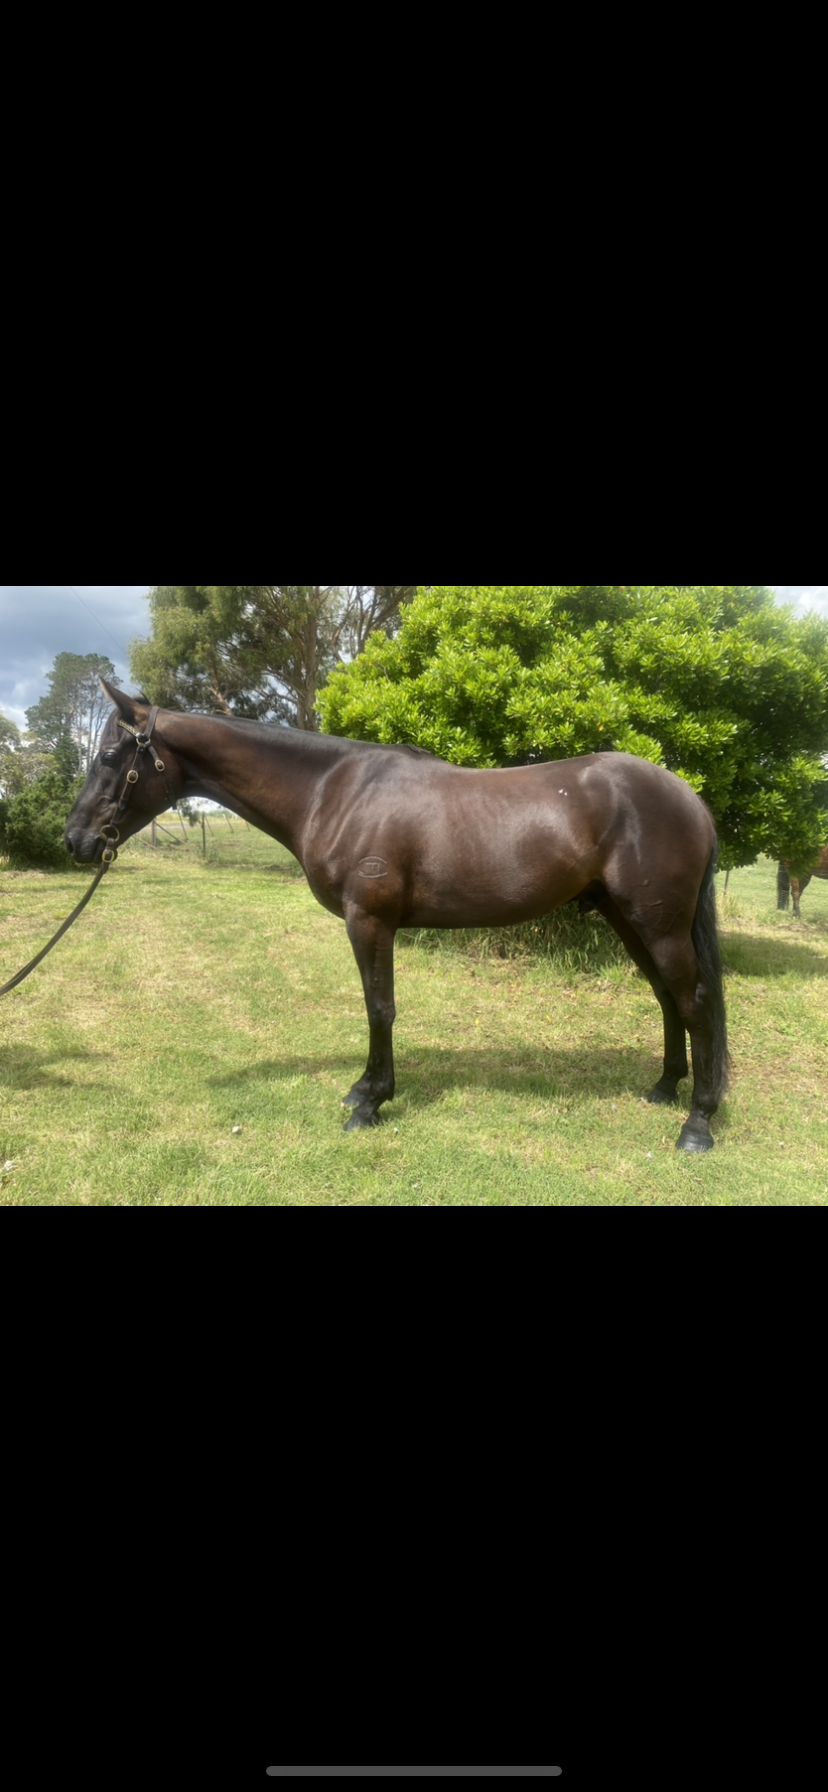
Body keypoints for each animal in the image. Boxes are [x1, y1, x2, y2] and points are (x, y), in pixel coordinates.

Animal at [65, 683, 730, 1154]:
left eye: (108, 755)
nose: (74, 840)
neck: (334, 791)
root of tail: (691, 798)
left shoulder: (369, 920)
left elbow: (378, 1006)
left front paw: (371, 1103)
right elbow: (373, 1005)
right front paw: (363, 1089)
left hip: (658, 924)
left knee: (693, 1001)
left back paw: (696, 1123)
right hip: (627, 918)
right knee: (668, 998)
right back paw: (664, 1088)